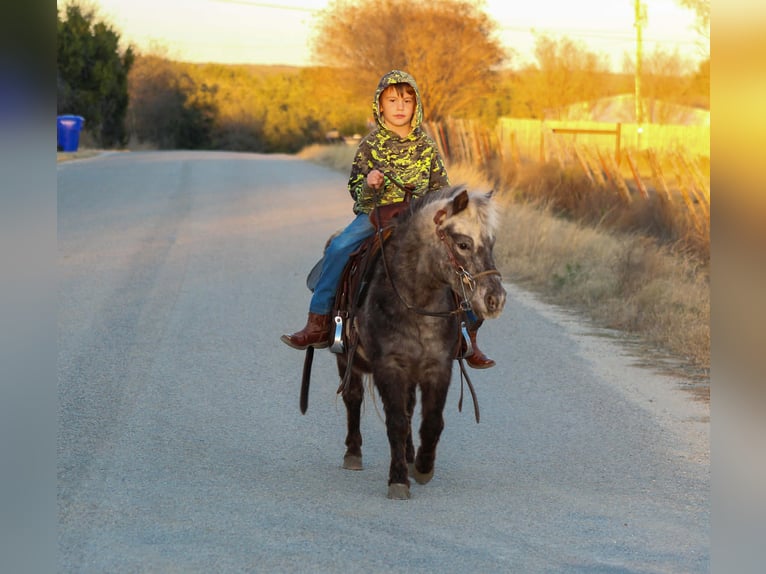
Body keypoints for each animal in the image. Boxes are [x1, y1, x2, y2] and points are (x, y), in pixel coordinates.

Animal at [330, 185, 507, 499]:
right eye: (463, 244)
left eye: (491, 243)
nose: (495, 299)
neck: (416, 300)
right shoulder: (389, 366)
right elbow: (396, 422)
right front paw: (399, 479)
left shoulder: (437, 366)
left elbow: (432, 420)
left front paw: (423, 467)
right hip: (346, 359)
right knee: (353, 398)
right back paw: (353, 454)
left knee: (410, 407)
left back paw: (410, 455)